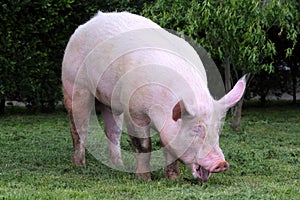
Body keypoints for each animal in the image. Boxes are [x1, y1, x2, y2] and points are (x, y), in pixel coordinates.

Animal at [61, 11, 246, 182]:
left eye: (218, 129)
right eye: (195, 130)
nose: (221, 163)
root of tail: (90, 21)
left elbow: (169, 148)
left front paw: (173, 178)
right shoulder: (133, 110)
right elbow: (143, 145)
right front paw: (144, 179)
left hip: (110, 100)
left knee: (113, 131)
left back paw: (119, 165)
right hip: (74, 83)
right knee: (79, 128)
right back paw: (80, 165)